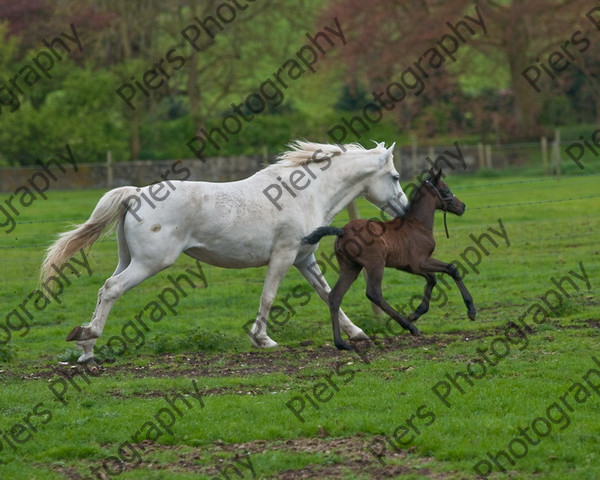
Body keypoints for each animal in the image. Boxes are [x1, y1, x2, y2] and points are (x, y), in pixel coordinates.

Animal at [41, 141, 408, 362]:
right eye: (395, 176)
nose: (404, 210)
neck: (308, 194)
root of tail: (136, 194)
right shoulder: (283, 256)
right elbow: (268, 297)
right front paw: (262, 340)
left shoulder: (303, 259)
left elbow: (327, 293)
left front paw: (357, 334)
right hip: (150, 263)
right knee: (111, 289)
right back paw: (89, 342)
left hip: (128, 260)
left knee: (104, 290)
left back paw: (86, 346)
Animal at [302, 171, 476, 350]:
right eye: (446, 190)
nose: (462, 206)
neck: (417, 225)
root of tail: (342, 231)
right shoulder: (420, 262)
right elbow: (451, 268)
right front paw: (471, 311)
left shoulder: (409, 266)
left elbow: (432, 279)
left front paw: (416, 312)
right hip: (376, 264)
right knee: (374, 293)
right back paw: (410, 327)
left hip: (350, 268)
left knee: (335, 296)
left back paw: (342, 343)